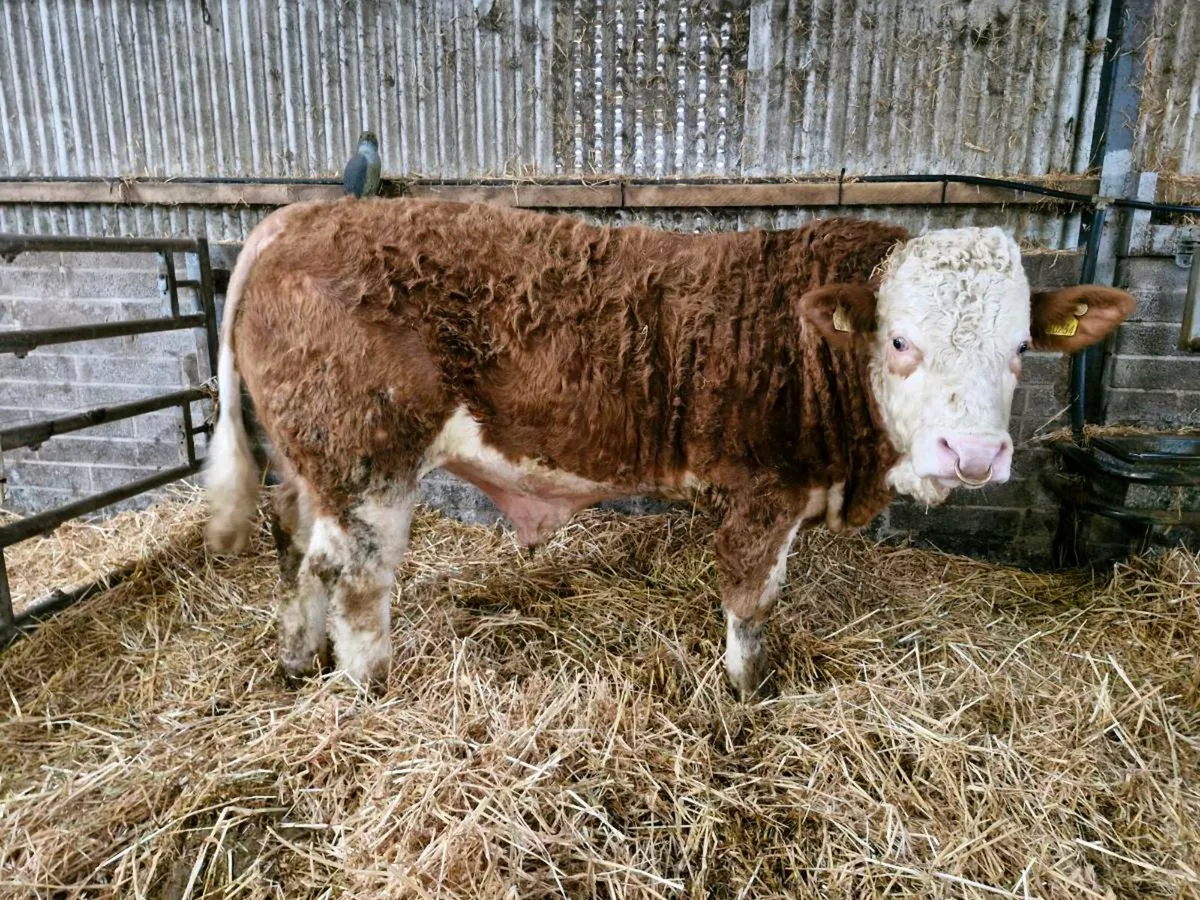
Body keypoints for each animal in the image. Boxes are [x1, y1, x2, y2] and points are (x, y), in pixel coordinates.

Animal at [204, 198, 1134, 698]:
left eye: (1022, 347)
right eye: (901, 341)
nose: (971, 453)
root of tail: (297, 216)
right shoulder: (764, 493)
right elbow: (752, 604)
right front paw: (745, 698)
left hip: (312, 463)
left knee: (294, 549)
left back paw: (296, 662)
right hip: (370, 465)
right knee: (357, 581)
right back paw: (371, 691)